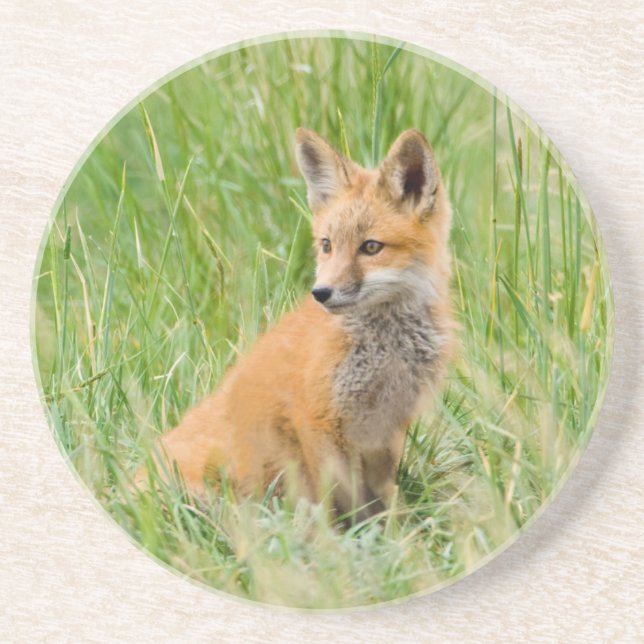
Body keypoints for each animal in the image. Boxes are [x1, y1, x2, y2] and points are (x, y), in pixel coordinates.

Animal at [136, 127, 454, 521]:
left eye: (371, 247)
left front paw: (398, 528)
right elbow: (340, 499)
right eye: (327, 245)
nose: (321, 293)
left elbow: (382, 497)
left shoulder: (388, 428)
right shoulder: (317, 418)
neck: (386, 348)